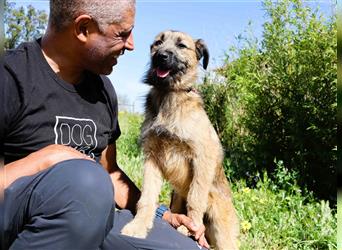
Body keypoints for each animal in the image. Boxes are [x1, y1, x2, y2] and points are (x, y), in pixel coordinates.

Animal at [121, 30, 239, 249]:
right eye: (158, 43)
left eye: (181, 45)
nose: (161, 56)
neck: (169, 95)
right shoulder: (152, 157)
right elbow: (147, 197)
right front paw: (138, 225)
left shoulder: (202, 158)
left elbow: (196, 197)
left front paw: (191, 227)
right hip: (176, 198)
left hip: (222, 232)